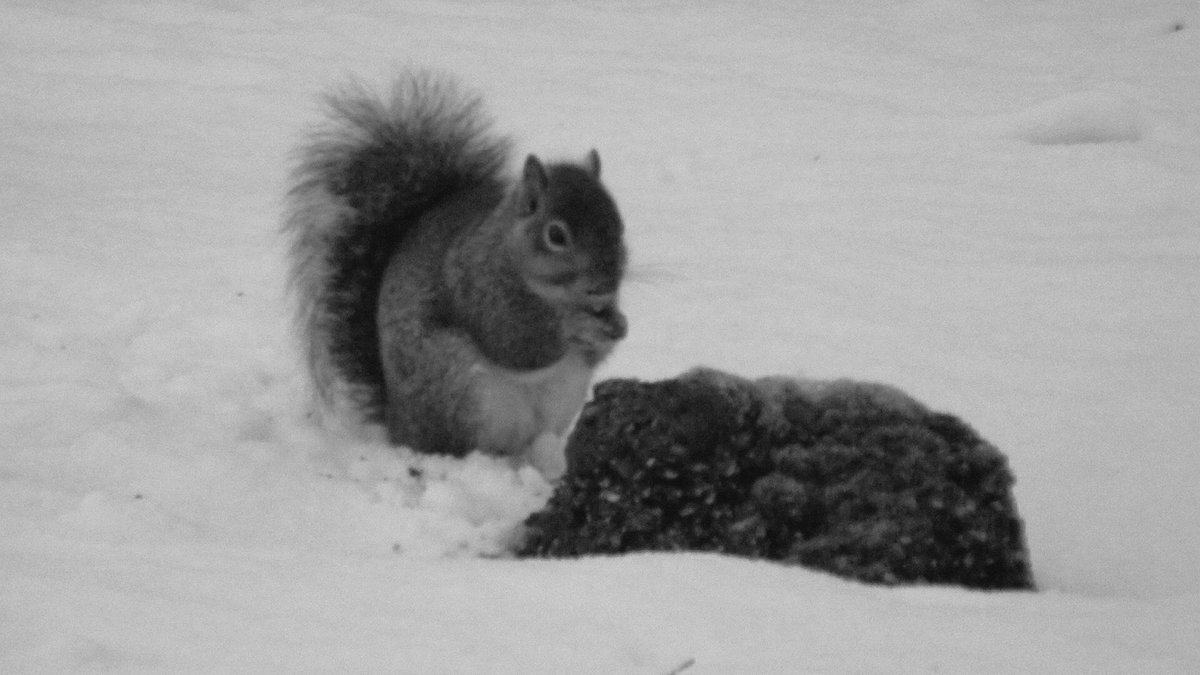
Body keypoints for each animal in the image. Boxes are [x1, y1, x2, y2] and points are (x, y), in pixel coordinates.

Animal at [283, 71, 628, 479]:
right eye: (556, 235)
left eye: (619, 224)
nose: (605, 284)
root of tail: (399, 426)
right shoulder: (478, 286)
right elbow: (515, 343)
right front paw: (576, 325)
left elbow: (593, 354)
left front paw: (617, 324)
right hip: (461, 388)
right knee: (462, 446)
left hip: (560, 397)